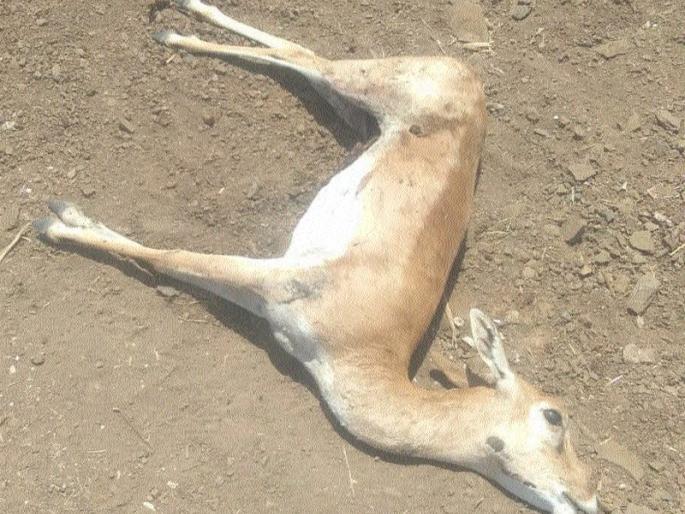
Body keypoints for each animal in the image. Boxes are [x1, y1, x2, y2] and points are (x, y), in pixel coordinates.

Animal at [33, 1, 599, 512]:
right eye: (555, 416)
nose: (590, 495)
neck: (360, 353)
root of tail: (469, 77)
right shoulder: (276, 279)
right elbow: (169, 254)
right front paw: (57, 219)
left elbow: (170, 256)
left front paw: (60, 217)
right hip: (366, 83)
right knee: (305, 54)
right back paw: (170, 28)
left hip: (355, 104)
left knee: (302, 57)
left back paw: (176, 22)